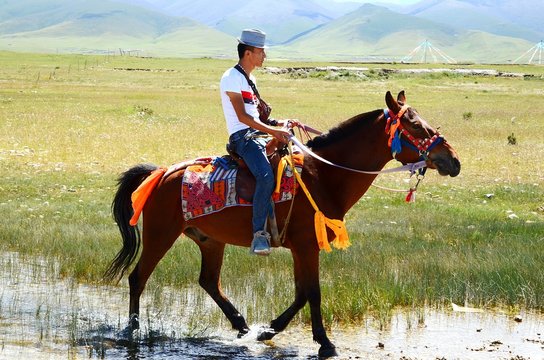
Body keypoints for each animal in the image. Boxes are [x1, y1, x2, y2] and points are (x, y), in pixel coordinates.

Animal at [105, 90, 460, 358]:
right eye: (415, 126)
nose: (452, 160)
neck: (324, 177)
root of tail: (161, 172)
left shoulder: (300, 248)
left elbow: (302, 292)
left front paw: (269, 330)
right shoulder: (306, 246)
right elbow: (313, 292)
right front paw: (325, 344)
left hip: (210, 241)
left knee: (208, 281)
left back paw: (242, 325)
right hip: (160, 235)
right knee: (138, 277)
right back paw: (131, 331)